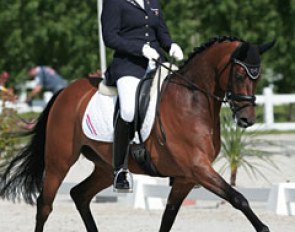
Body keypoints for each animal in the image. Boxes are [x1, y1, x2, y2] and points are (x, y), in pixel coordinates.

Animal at [1, 36, 276, 230]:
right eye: (239, 74)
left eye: (258, 76)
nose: (247, 119)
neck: (191, 102)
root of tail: (65, 91)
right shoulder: (197, 168)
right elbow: (238, 199)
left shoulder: (186, 177)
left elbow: (168, 218)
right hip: (59, 161)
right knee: (45, 204)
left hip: (105, 167)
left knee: (79, 195)